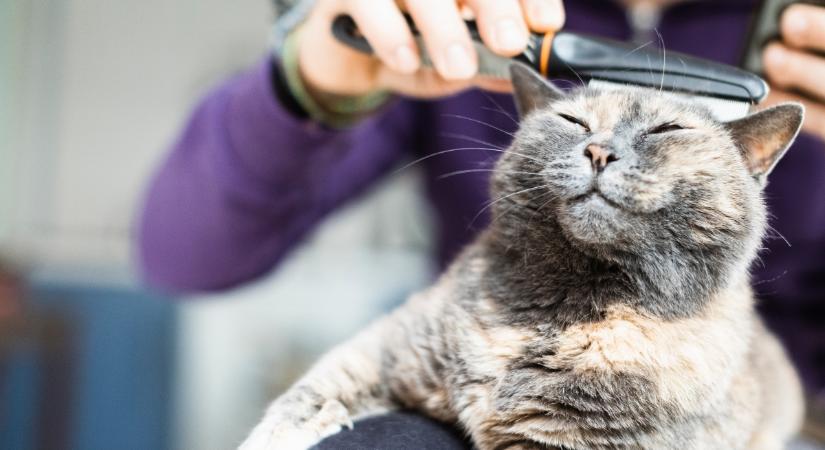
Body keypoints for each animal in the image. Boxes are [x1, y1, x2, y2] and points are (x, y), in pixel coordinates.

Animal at [238, 64, 804, 450]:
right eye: (574, 121)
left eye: (667, 130)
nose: (599, 151)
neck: (560, 310)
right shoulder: (386, 346)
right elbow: (309, 392)